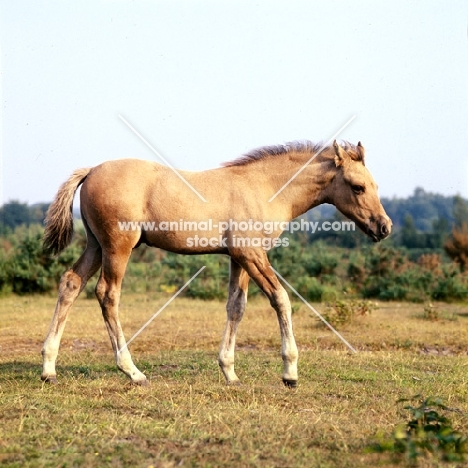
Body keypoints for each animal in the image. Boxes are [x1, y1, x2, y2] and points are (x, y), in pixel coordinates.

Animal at [41, 140, 392, 388]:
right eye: (358, 186)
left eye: (376, 185)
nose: (384, 227)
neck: (265, 187)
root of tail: (91, 170)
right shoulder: (252, 254)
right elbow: (281, 299)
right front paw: (290, 372)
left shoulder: (240, 257)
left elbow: (236, 306)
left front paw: (230, 373)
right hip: (118, 247)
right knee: (107, 295)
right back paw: (133, 372)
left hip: (96, 245)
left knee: (71, 283)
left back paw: (48, 368)